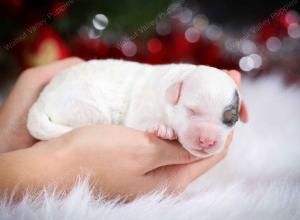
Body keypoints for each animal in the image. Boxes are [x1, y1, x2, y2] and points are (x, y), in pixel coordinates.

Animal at [27, 59, 244, 157]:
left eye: (230, 119)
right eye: (191, 110)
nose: (207, 141)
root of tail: (41, 99)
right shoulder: (142, 109)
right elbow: (141, 121)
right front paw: (164, 129)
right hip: (84, 104)